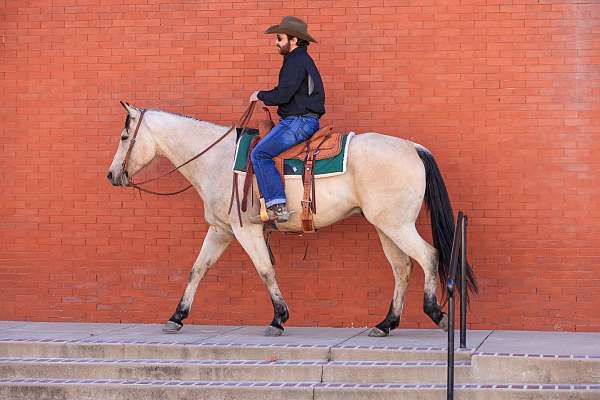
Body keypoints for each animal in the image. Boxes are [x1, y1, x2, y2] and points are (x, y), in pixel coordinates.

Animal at [105, 101, 476, 336]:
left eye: (124, 137)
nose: (111, 175)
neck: (216, 159)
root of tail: (414, 148)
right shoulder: (221, 230)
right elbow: (198, 269)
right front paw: (177, 317)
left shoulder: (245, 229)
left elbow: (265, 270)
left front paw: (279, 318)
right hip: (386, 226)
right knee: (402, 268)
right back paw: (386, 324)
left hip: (396, 225)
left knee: (428, 256)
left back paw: (435, 313)